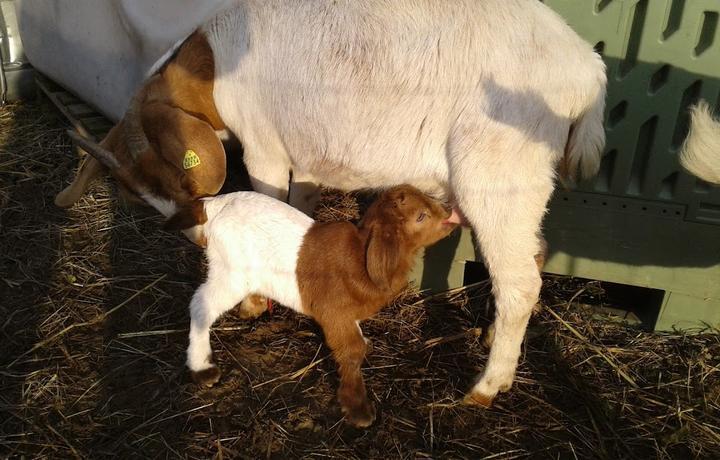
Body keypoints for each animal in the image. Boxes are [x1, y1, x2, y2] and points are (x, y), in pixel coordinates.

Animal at [57, 0, 608, 404]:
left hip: (501, 174)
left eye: (170, 171)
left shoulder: (265, 145)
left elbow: (266, 196)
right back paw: (491, 340)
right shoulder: (305, 157)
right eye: (135, 195)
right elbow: (299, 211)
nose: (196, 236)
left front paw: (254, 304)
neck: (216, 64)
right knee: (534, 254)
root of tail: (591, 72)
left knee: (520, 282)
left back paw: (485, 389)